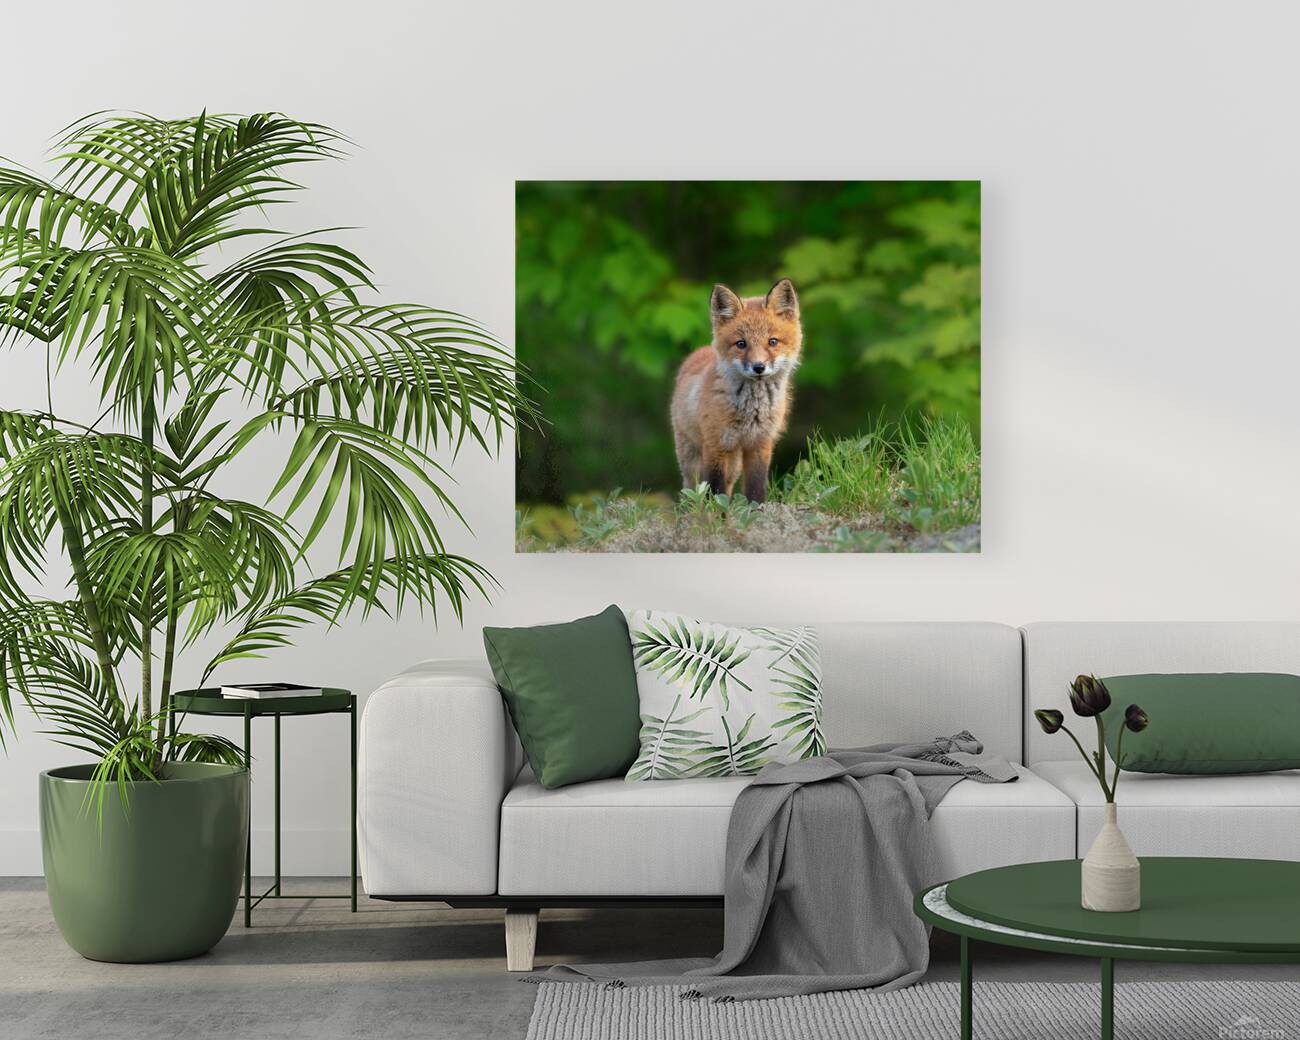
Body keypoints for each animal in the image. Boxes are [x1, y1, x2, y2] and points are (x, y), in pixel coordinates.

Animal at [670, 277, 802, 503]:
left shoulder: (760, 444)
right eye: (741, 344)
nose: (759, 367)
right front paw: (718, 512)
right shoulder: (716, 445)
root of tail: (698, 352)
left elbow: (755, 486)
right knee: (692, 489)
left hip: (734, 463)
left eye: (772, 341)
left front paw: (756, 509)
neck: (752, 411)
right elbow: (715, 489)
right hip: (693, 457)